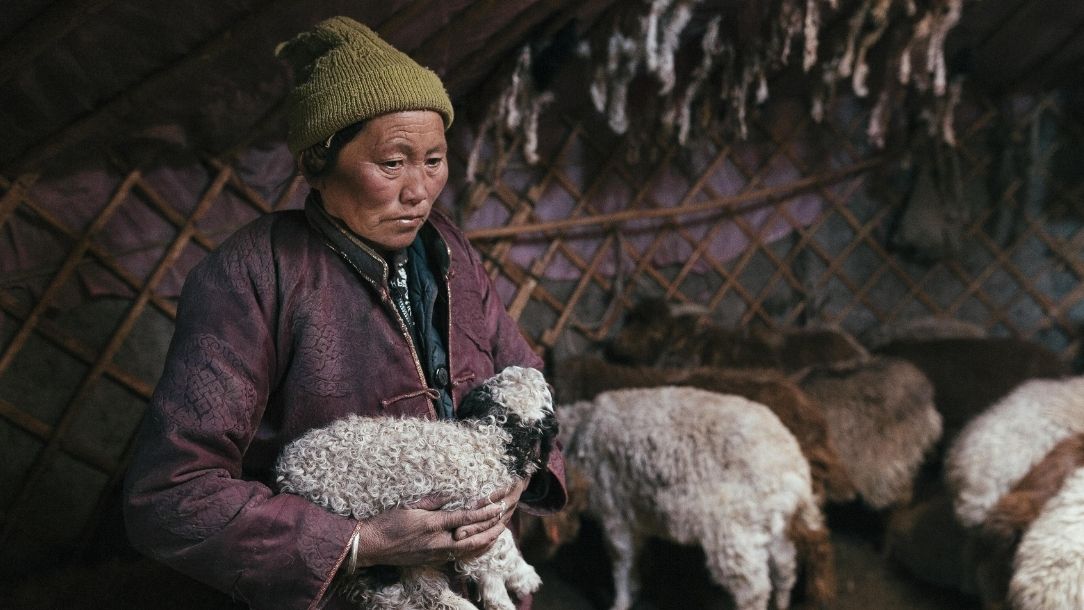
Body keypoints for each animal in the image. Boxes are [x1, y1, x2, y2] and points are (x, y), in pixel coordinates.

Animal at [275, 366, 555, 606]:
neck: (494, 436)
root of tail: (286, 473)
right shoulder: (476, 511)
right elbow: (501, 544)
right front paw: (522, 579)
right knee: (412, 593)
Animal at [546, 385, 832, 610]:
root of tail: (793, 468)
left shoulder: (614, 510)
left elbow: (621, 561)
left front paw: (621, 602)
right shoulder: (634, 512)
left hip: (736, 528)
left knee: (754, 589)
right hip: (772, 523)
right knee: (785, 566)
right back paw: (782, 602)